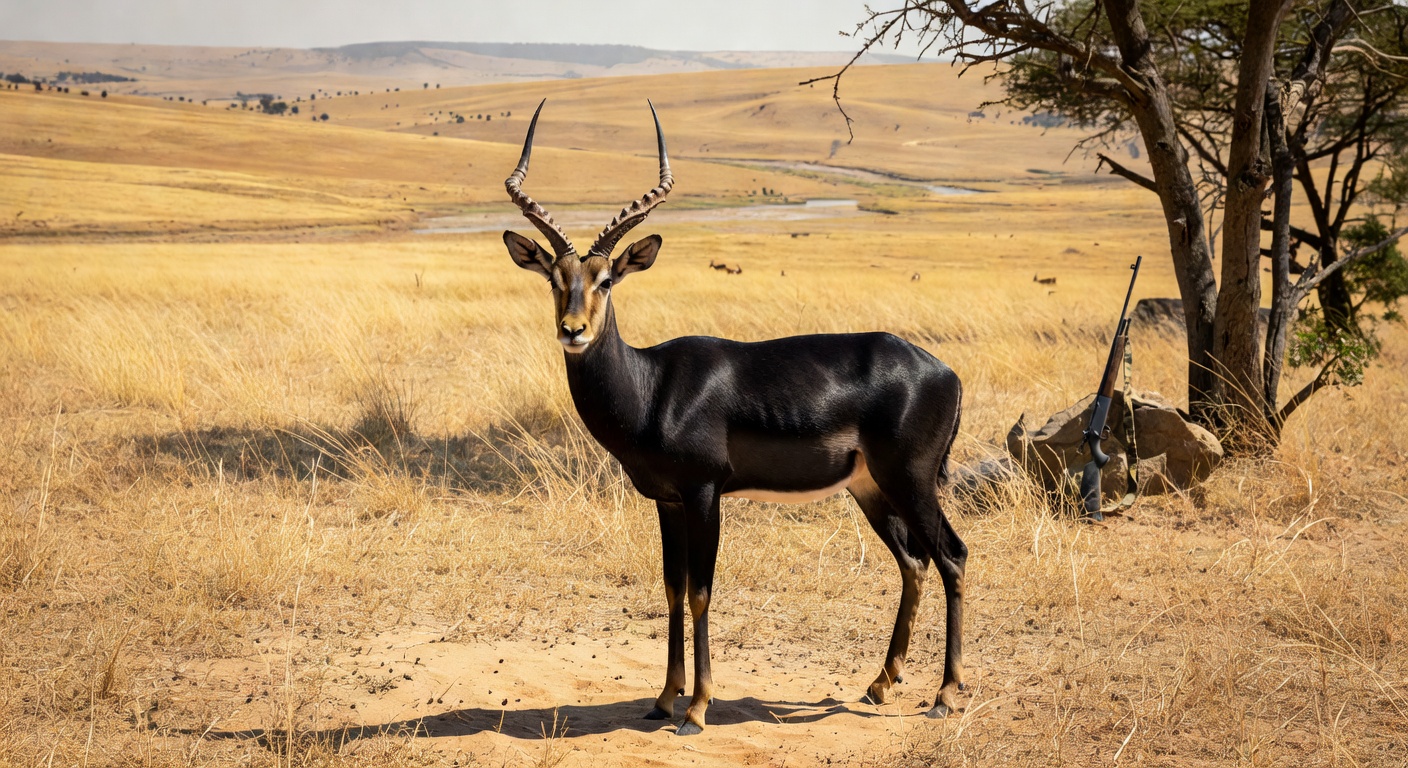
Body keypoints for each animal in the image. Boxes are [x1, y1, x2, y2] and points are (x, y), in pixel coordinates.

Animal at [500, 100, 968, 736]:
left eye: (606, 279)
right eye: (555, 279)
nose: (573, 330)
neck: (651, 386)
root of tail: (945, 371)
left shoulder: (704, 493)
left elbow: (701, 592)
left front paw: (696, 709)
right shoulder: (668, 501)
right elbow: (671, 591)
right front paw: (662, 700)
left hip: (911, 480)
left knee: (952, 557)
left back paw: (945, 694)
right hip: (871, 487)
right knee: (914, 562)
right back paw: (878, 685)